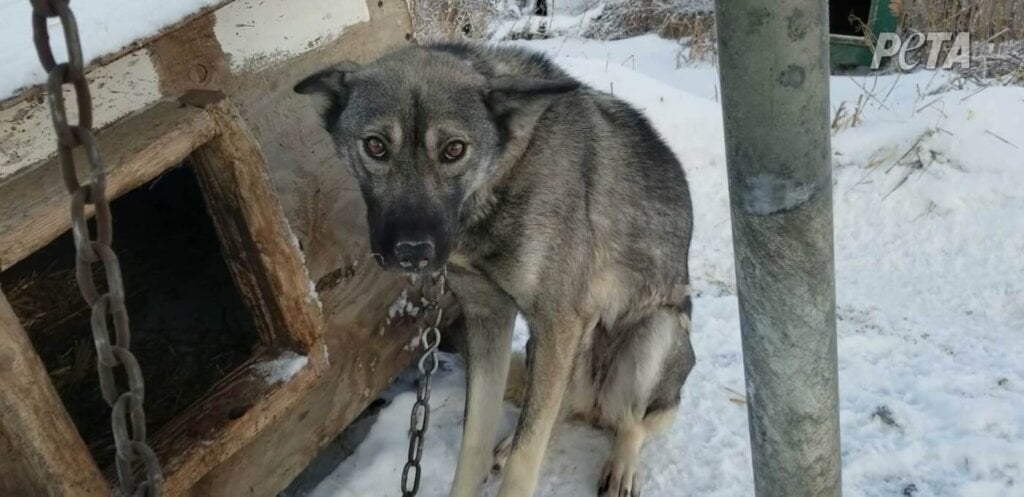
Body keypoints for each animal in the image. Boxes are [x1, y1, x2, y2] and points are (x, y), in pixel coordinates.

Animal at [296, 43, 696, 495]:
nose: (413, 251)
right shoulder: (489, 317)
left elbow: (527, 455)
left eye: (454, 150)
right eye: (376, 146)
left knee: (631, 423)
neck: (505, 171)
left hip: (654, 333)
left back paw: (624, 464)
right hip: (548, 349)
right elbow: (475, 441)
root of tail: (595, 403)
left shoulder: (557, 321)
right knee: (556, 410)